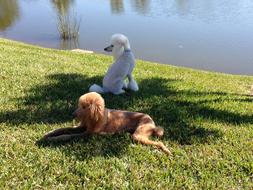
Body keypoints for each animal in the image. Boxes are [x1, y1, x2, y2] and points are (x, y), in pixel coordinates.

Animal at [42, 91, 170, 154]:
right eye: (79, 105)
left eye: (84, 107)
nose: (72, 114)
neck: (93, 118)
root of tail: (153, 123)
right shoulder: (83, 127)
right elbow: (64, 129)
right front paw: (50, 133)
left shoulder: (88, 133)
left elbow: (69, 135)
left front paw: (55, 139)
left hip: (138, 135)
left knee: (159, 143)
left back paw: (167, 151)